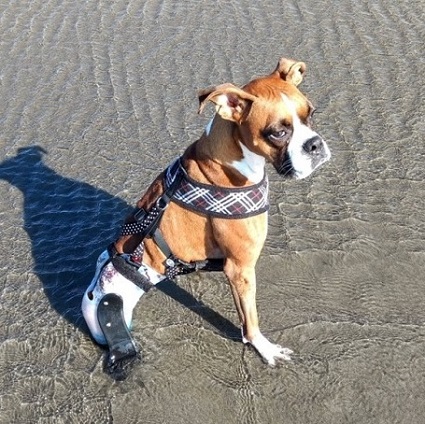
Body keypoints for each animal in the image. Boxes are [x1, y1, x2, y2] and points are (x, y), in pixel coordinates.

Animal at [81, 56, 330, 378]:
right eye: (278, 133)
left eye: (311, 114)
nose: (315, 144)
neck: (230, 162)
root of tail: (97, 291)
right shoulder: (240, 269)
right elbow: (250, 321)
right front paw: (264, 348)